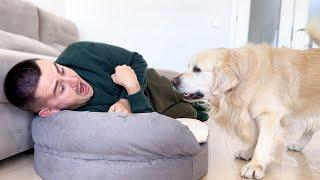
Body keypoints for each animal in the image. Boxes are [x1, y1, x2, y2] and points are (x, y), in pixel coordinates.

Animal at [174, 21, 320, 179]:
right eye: (189, 67)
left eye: (197, 69)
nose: (173, 81)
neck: (245, 77)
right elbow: (256, 137)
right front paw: (248, 153)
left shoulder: (269, 115)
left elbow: (262, 141)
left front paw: (255, 166)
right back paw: (298, 145)